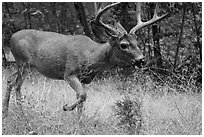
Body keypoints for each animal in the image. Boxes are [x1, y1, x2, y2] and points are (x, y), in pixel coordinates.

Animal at [2, 2, 170, 120]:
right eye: (123, 45)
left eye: (137, 42)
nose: (141, 60)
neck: (91, 56)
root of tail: (11, 38)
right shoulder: (69, 73)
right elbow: (83, 95)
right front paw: (66, 107)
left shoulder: (84, 79)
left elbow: (82, 101)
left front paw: (79, 121)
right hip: (22, 62)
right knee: (16, 84)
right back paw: (20, 114)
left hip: (25, 66)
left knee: (10, 81)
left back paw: (6, 112)